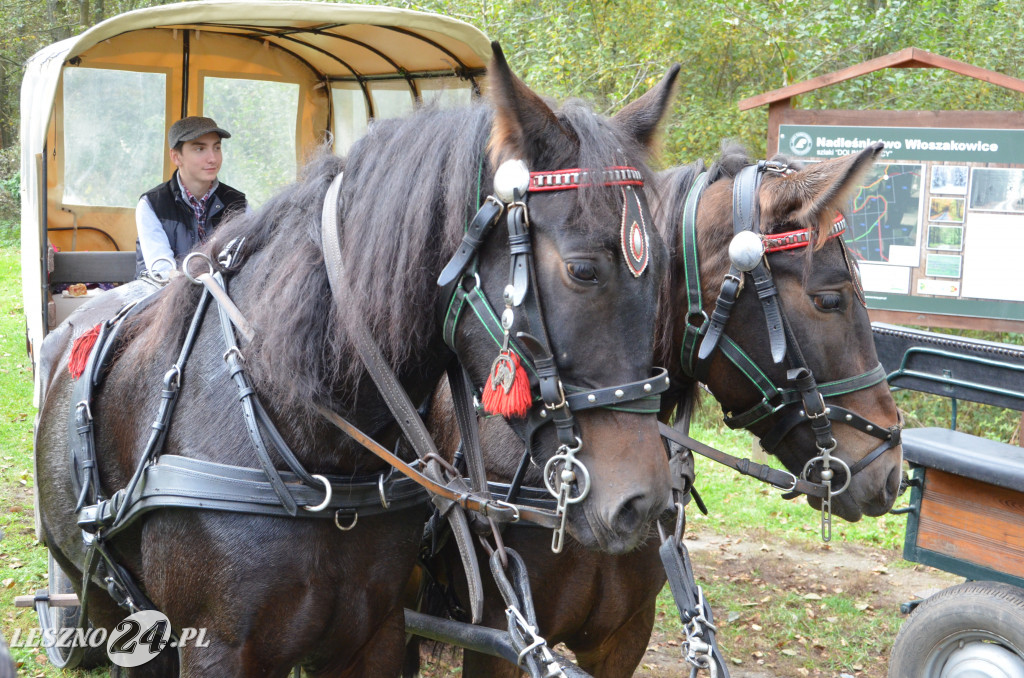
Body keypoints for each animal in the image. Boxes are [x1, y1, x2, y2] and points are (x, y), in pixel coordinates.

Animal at [34, 47, 679, 678]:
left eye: (664, 267)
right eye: (582, 269)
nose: (644, 501)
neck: (309, 439)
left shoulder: (374, 637)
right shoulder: (217, 646)